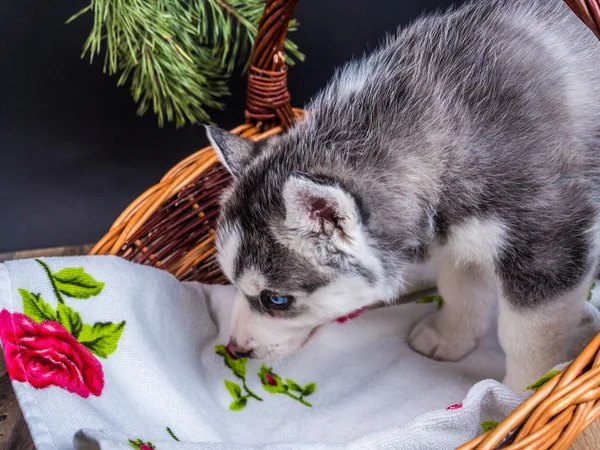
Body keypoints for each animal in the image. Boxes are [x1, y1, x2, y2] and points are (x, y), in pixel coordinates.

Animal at [205, 0, 600, 390]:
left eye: (277, 299)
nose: (236, 349)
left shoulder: (548, 247)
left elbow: (527, 336)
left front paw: (527, 392)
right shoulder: (457, 238)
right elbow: (459, 289)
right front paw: (449, 335)